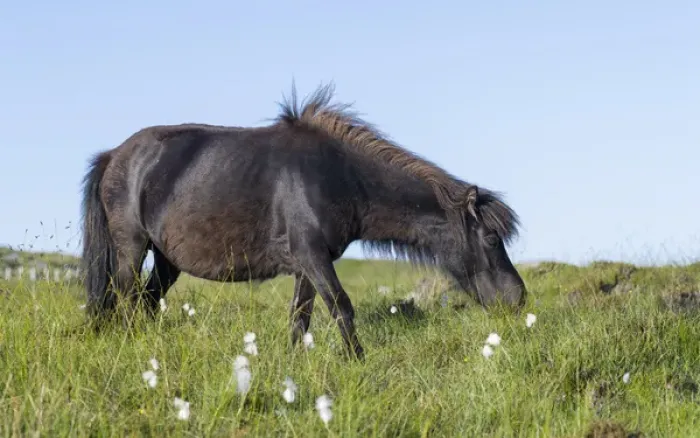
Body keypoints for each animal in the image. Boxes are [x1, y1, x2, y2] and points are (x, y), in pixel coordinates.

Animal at [80, 83, 527, 360]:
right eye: (491, 238)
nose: (518, 299)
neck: (338, 175)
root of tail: (114, 156)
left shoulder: (306, 264)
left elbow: (301, 317)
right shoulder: (312, 255)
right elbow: (341, 307)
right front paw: (357, 362)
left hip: (167, 259)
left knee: (147, 301)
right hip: (131, 247)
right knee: (127, 298)